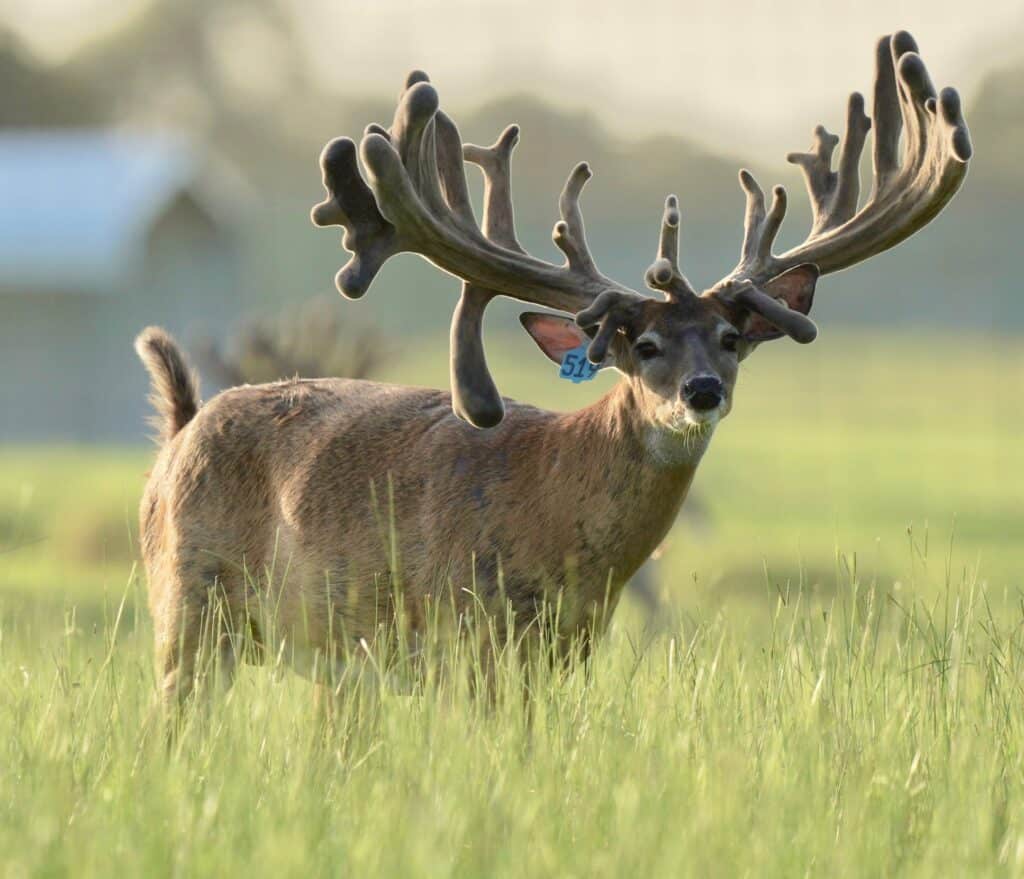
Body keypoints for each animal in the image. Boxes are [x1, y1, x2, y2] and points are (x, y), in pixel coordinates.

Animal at [136, 32, 971, 717]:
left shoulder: (558, 652)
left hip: (330, 659)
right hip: (187, 605)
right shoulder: (468, 635)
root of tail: (182, 429)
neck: (552, 503)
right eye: (642, 345)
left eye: (733, 337)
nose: (702, 391)